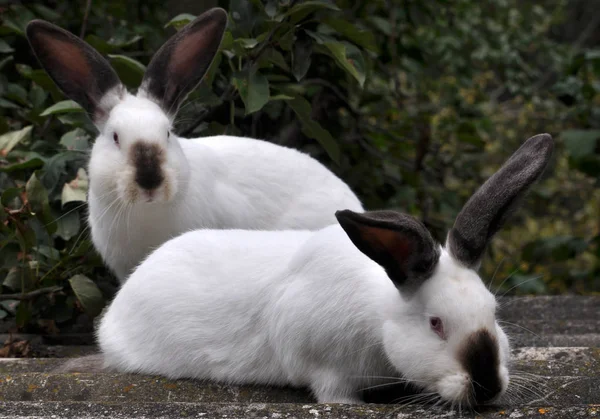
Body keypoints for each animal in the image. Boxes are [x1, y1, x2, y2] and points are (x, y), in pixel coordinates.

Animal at [61, 133, 552, 406]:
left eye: (494, 313)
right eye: (436, 324)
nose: (487, 385)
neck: (378, 314)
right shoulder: (323, 364)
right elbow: (334, 393)